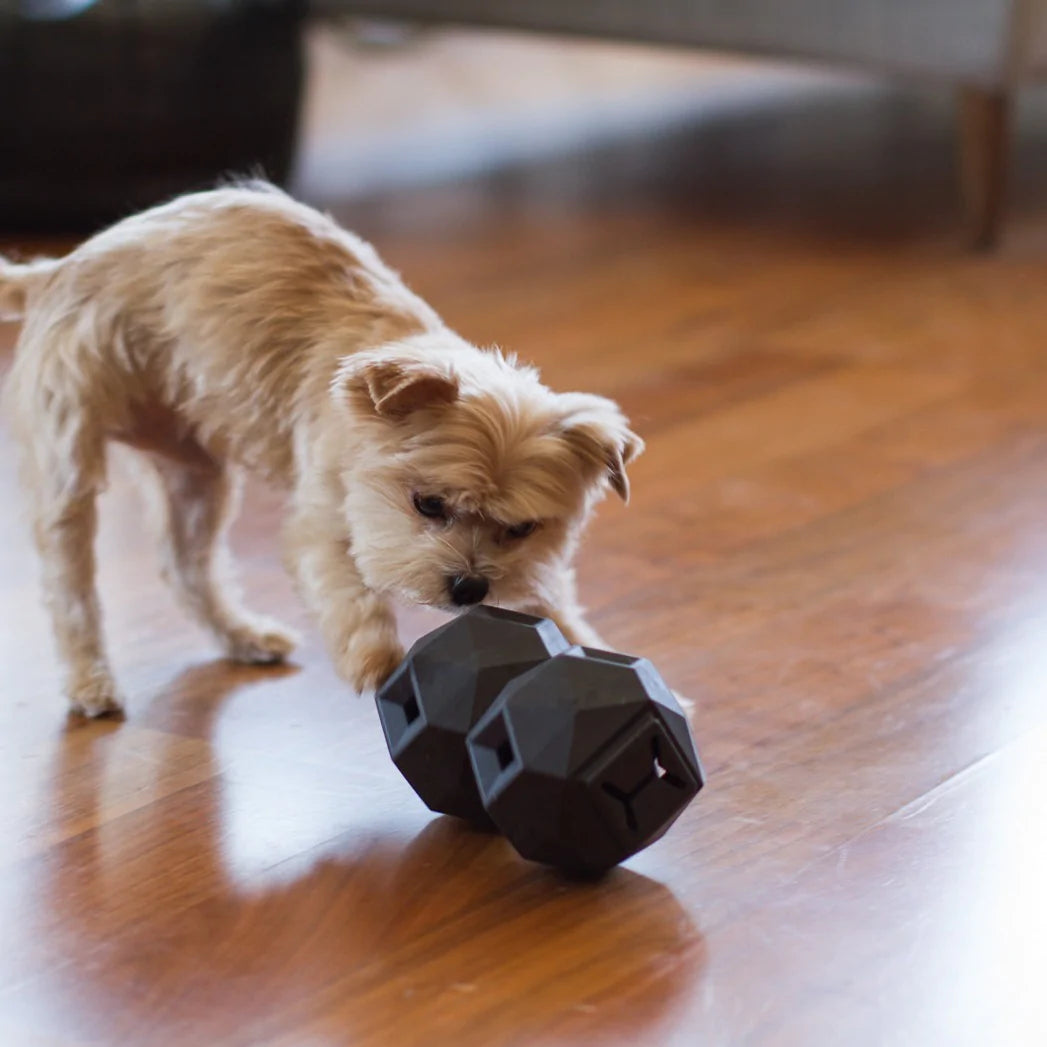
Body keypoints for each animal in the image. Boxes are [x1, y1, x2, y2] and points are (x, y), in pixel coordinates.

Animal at [0, 182, 640, 720]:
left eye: (522, 529)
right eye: (428, 505)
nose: (469, 588)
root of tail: (57, 270)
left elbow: (553, 610)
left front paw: (594, 661)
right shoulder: (324, 524)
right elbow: (348, 593)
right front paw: (377, 661)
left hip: (195, 475)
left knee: (185, 567)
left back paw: (241, 636)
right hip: (69, 459)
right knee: (69, 586)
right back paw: (90, 681)